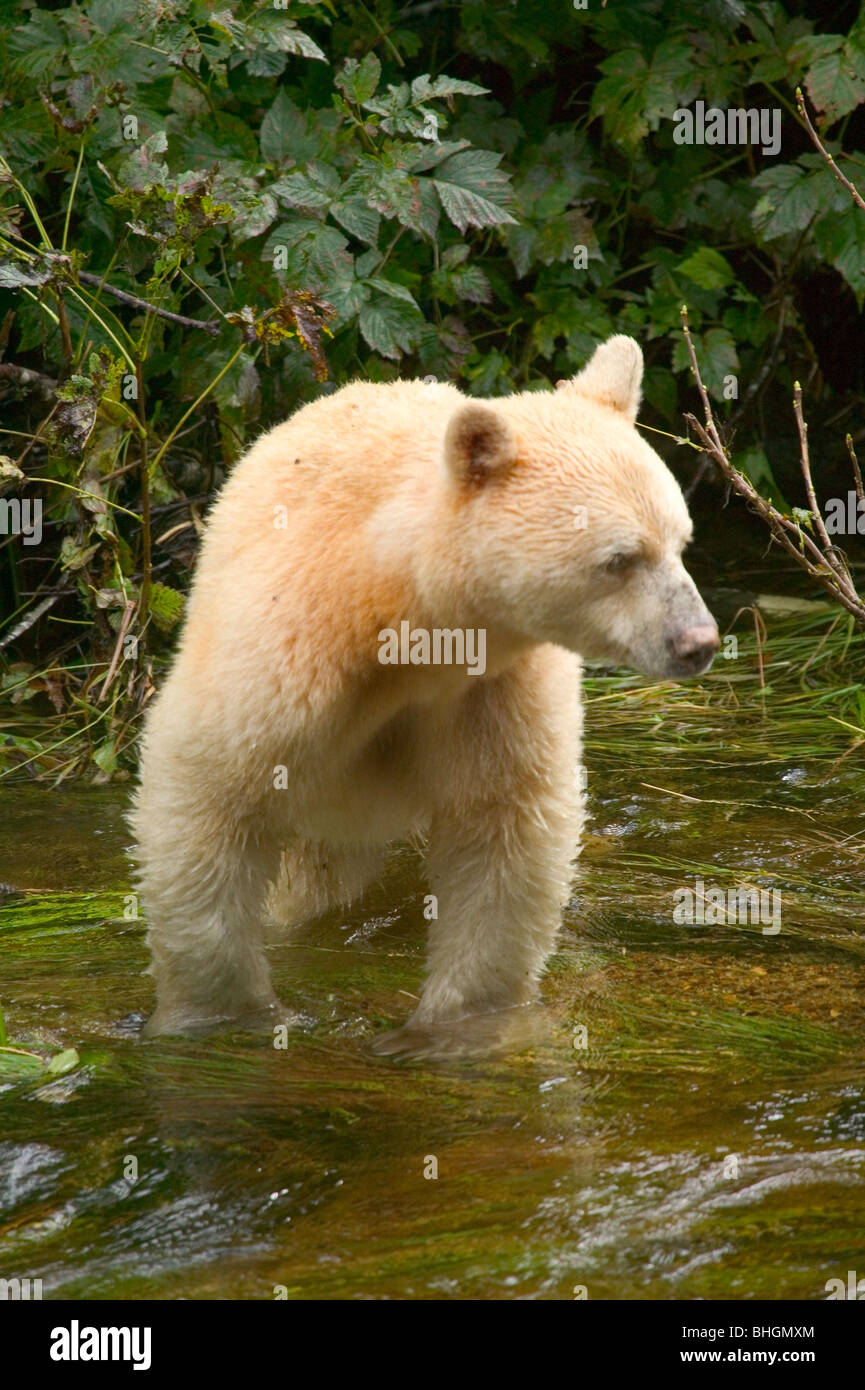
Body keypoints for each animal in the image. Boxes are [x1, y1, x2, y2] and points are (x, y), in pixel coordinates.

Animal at [134, 336, 717, 1045]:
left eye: (681, 542)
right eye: (620, 559)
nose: (697, 641)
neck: (395, 611)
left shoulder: (492, 688)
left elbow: (503, 830)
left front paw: (457, 1029)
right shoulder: (288, 658)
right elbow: (207, 798)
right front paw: (225, 1016)